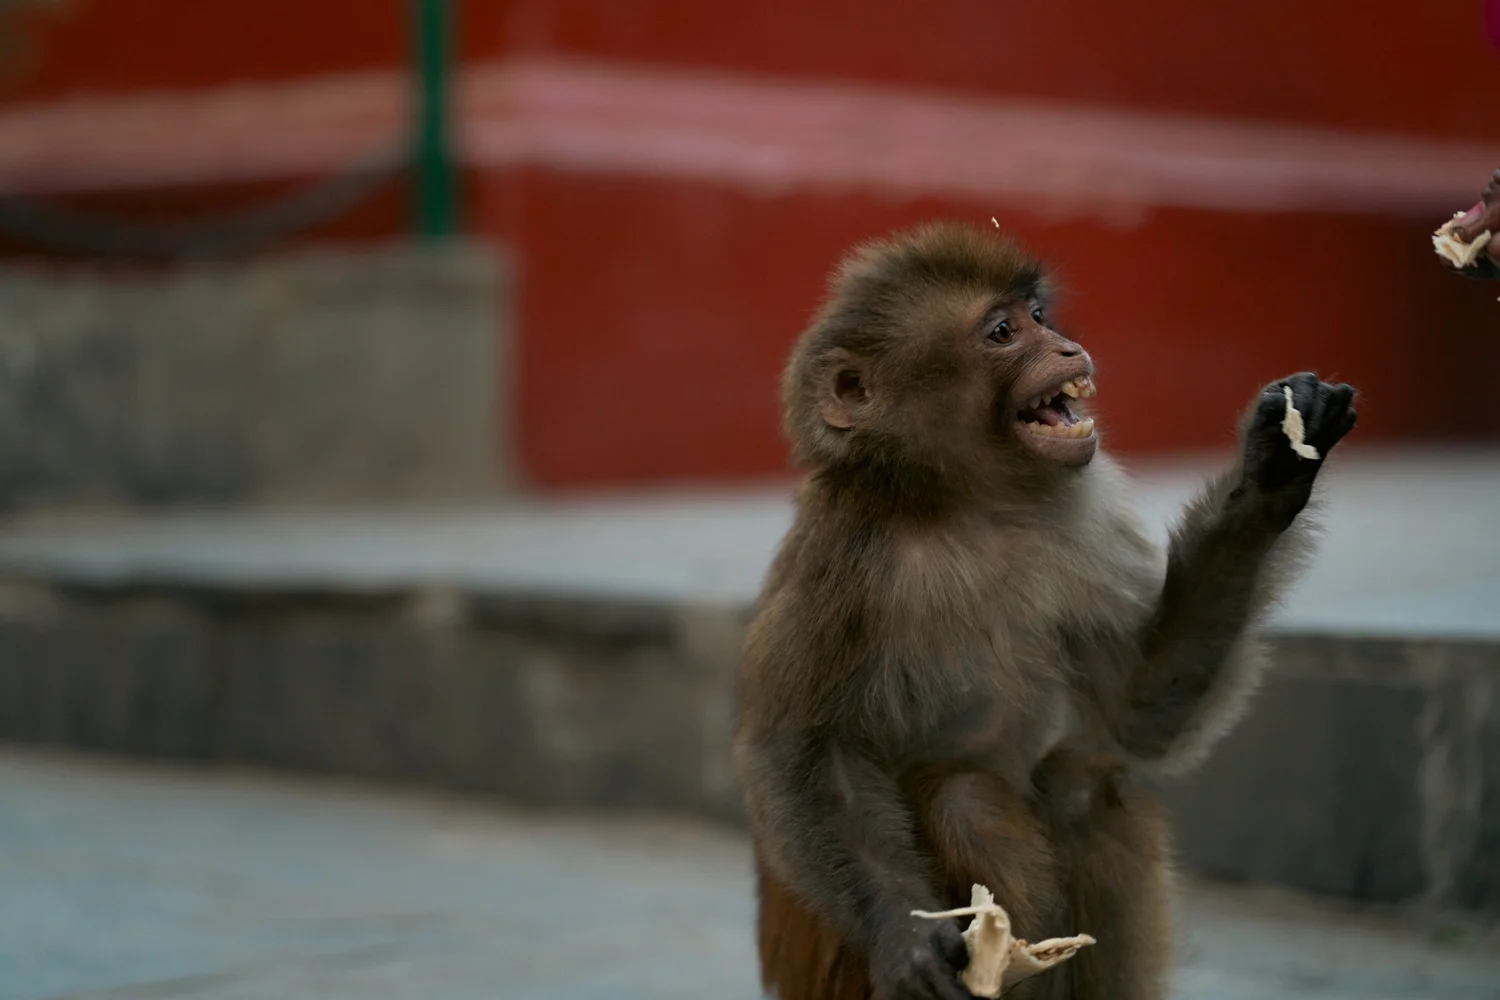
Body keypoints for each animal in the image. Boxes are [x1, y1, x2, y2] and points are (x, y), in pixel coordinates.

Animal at [731, 221, 1357, 1000]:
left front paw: (1271, 476)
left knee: (1080, 787)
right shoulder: (837, 555)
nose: (1065, 347)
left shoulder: (1084, 521)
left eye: (1038, 315)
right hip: (831, 973)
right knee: (967, 798)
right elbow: (808, 758)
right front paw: (905, 934)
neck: (967, 507)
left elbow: (1138, 713)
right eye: (1003, 332)